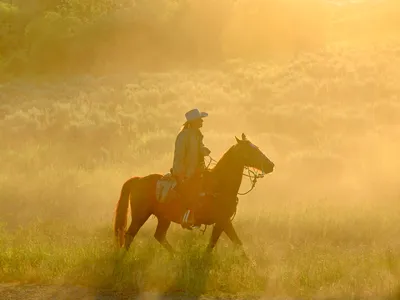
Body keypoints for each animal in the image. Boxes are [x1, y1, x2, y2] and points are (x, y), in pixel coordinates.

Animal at [113, 133, 276, 255]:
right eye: (251, 151)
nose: (271, 165)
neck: (220, 184)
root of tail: (138, 179)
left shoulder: (221, 222)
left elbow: (218, 244)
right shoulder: (224, 221)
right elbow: (234, 243)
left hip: (164, 218)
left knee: (159, 236)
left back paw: (176, 256)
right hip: (140, 215)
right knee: (129, 235)